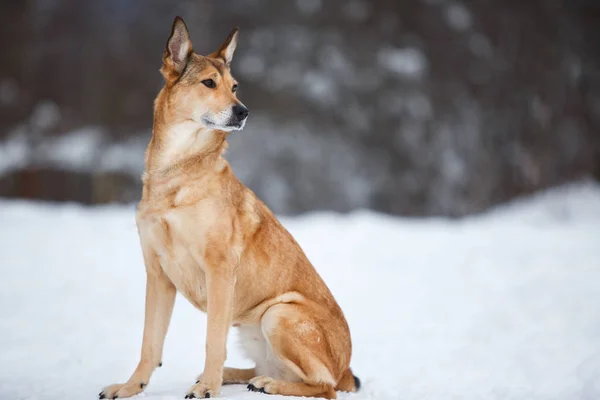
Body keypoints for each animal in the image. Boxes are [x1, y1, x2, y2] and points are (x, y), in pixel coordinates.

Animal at [100, 17, 358, 398]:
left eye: (235, 87)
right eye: (209, 82)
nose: (243, 111)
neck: (178, 172)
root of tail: (346, 369)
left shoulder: (219, 270)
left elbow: (212, 340)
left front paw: (207, 387)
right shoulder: (158, 274)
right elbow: (150, 342)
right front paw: (131, 386)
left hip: (279, 314)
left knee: (323, 386)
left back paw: (265, 383)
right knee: (269, 368)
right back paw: (240, 375)